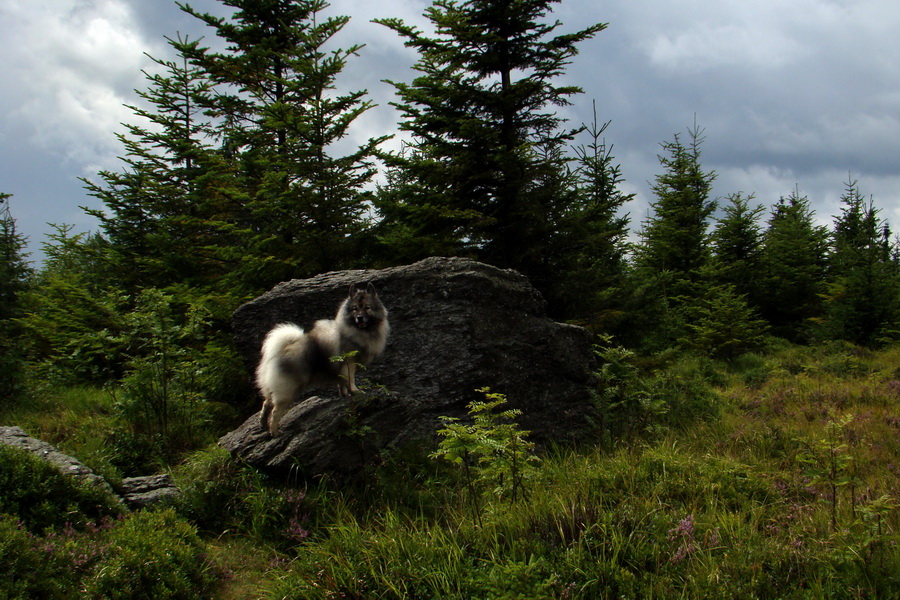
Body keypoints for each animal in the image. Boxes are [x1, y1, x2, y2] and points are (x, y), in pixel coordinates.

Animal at [256, 284, 390, 436]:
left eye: (367, 307)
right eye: (355, 308)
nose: (360, 318)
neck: (357, 331)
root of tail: (280, 350)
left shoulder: (341, 367)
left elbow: (342, 382)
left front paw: (344, 394)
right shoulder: (349, 362)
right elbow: (350, 379)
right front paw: (356, 391)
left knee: (266, 404)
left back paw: (263, 425)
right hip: (287, 389)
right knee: (275, 411)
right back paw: (275, 432)